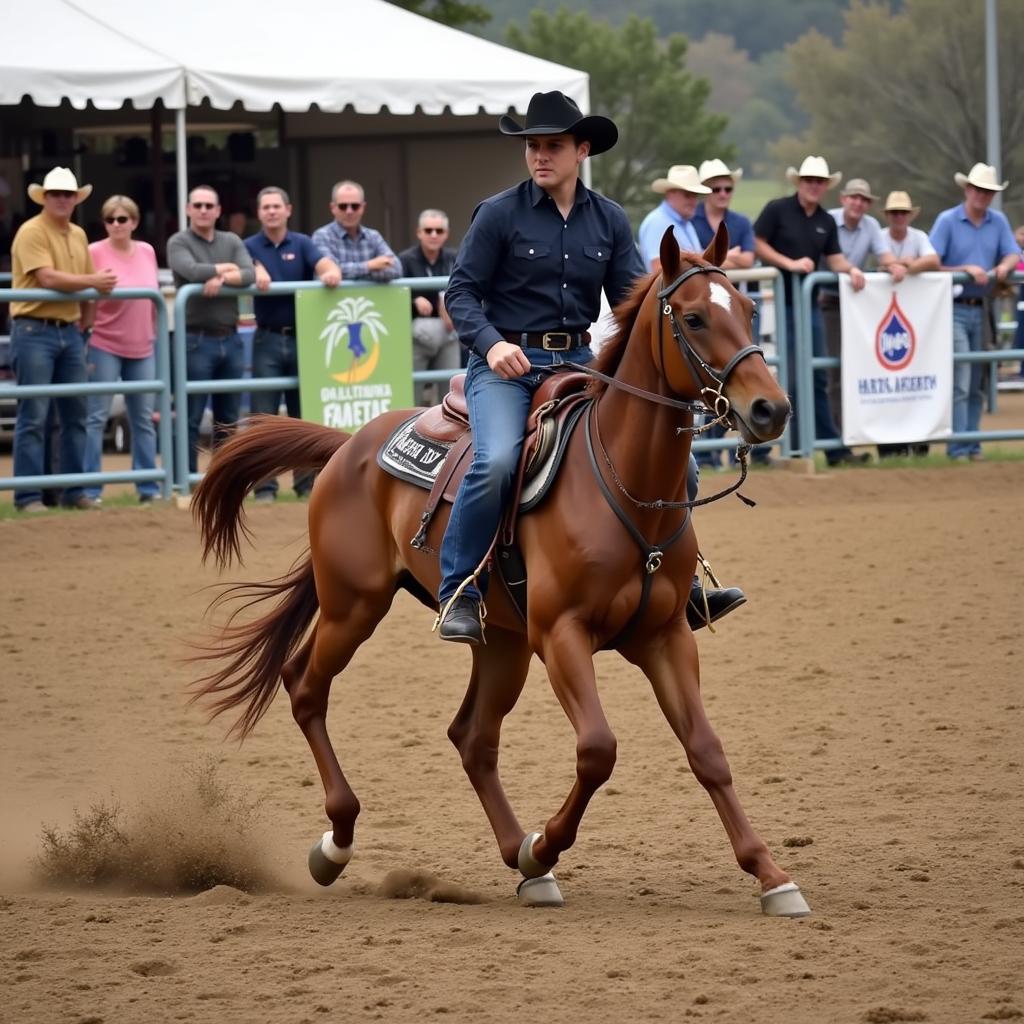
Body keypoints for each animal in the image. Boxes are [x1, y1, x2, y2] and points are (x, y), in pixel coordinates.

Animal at [192, 228, 811, 917]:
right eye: (696, 318)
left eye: (750, 310)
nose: (771, 408)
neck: (624, 486)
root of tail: (347, 444)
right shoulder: (561, 634)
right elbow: (598, 750)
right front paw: (546, 845)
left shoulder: (666, 636)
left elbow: (706, 751)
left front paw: (771, 874)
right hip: (355, 606)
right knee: (305, 687)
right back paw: (339, 843)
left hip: (500, 644)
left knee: (472, 736)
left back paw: (520, 860)